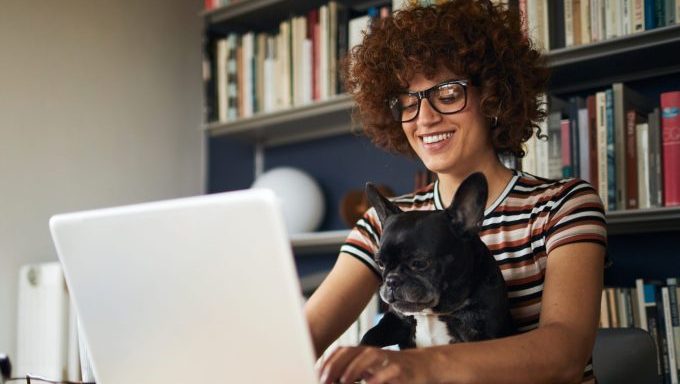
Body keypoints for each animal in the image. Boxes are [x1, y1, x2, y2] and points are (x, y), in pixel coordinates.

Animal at [362, 172, 516, 350]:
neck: (431, 312)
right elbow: (369, 336)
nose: (391, 280)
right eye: (380, 263)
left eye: (419, 263)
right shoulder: (395, 321)